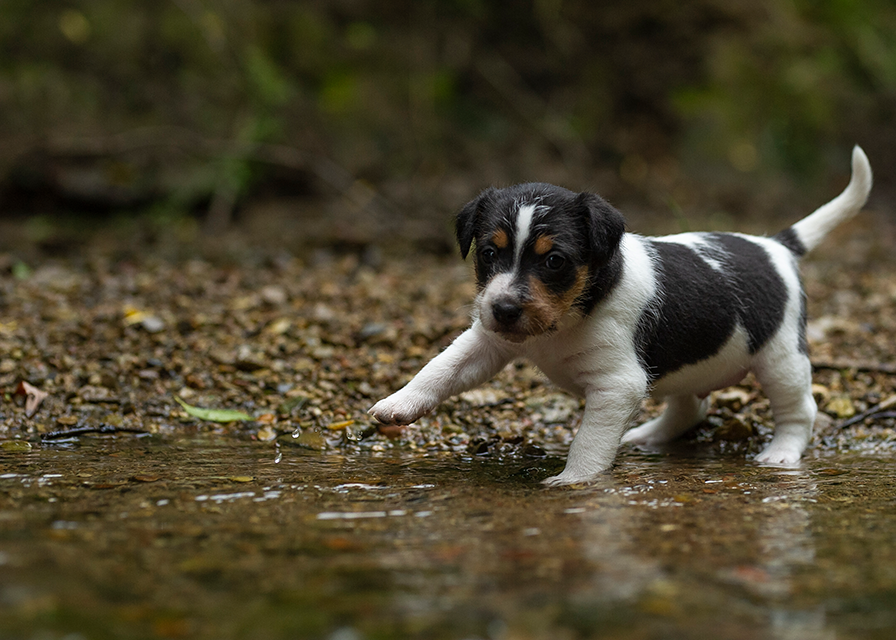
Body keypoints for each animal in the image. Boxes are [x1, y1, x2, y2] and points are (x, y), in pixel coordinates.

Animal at [368, 146, 872, 484]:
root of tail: (774, 246)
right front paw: (399, 403)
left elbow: (589, 442)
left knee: (798, 409)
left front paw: (572, 483)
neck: (571, 314)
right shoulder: (488, 341)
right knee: (690, 406)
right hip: (687, 365)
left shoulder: (616, 385)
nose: (506, 309)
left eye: (555, 261)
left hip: (781, 357)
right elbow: (442, 367)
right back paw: (647, 435)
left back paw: (781, 454)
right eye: (490, 253)